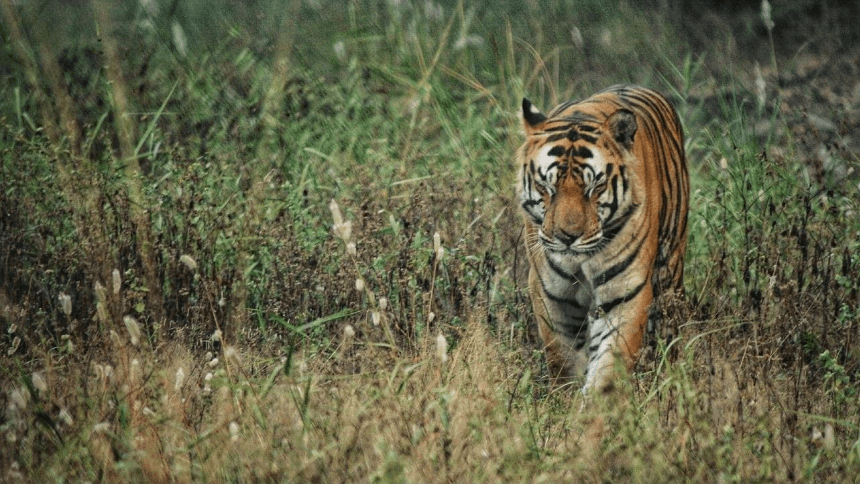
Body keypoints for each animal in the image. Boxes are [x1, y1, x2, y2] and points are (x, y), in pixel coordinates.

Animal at [517, 85, 689, 393]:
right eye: (546, 186)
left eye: (594, 187)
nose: (567, 237)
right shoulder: (551, 294)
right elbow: (563, 359)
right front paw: (564, 399)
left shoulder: (626, 291)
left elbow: (609, 368)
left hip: (671, 269)